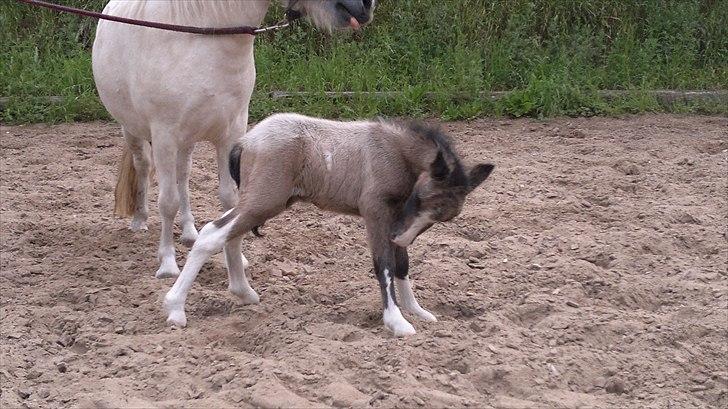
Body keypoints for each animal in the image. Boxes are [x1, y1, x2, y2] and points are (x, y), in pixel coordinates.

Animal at [92, 0, 376, 278]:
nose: (365, 6)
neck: (200, 35)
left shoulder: (230, 135)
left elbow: (229, 200)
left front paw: (234, 260)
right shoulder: (165, 135)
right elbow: (167, 202)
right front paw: (167, 264)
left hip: (186, 140)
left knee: (183, 175)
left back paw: (189, 232)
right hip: (133, 130)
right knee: (143, 166)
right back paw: (140, 220)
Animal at [165, 114, 494, 334]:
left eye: (444, 217)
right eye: (421, 198)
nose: (400, 237)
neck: (394, 150)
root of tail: (247, 140)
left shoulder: (396, 218)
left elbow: (402, 263)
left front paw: (416, 310)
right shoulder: (377, 212)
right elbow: (385, 264)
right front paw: (396, 321)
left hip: (261, 203)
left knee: (228, 234)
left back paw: (243, 294)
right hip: (263, 200)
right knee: (212, 234)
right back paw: (175, 308)